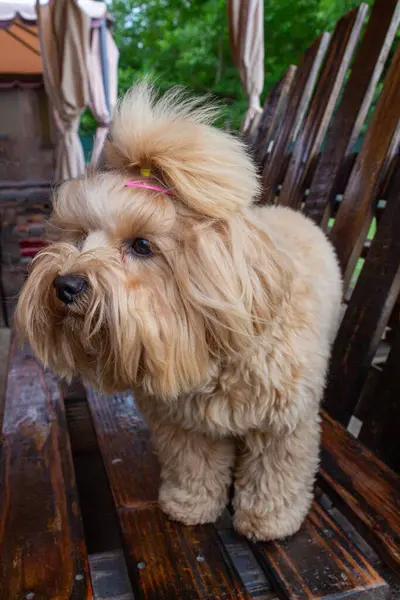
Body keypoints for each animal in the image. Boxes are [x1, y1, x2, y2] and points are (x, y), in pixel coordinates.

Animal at [17, 85, 342, 544]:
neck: (208, 352)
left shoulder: (283, 424)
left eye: (142, 246)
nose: (65, 285)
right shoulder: (183, 426)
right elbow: (194, 467)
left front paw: (269, 521)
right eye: (79, 236)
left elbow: (274, 474)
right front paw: (190, 506)